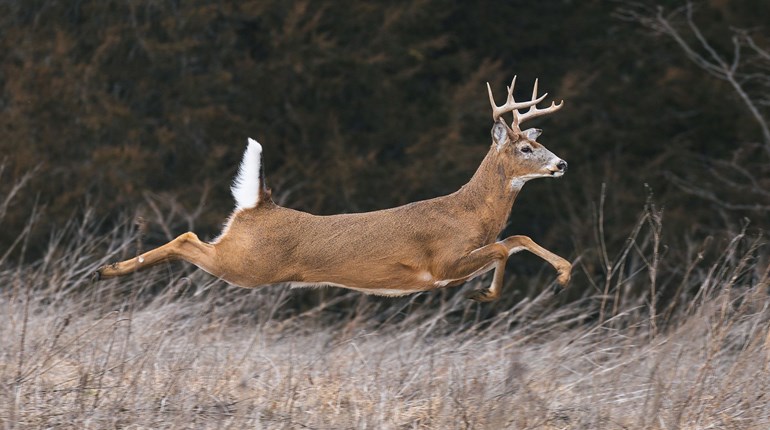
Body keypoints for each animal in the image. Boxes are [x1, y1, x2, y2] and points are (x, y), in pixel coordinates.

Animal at [96, 76, 572, 302]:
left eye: (540, 143)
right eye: (527, 147)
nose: (561, 164)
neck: (469, 214)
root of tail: (261, 205)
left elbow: (516, 237)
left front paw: (564, 276)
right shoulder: (440, 263)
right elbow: (502, 247)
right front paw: (486, 293)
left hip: (242, 257)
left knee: (191, 238)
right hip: (246, 264)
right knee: (187, 238)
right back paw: (109, 270)